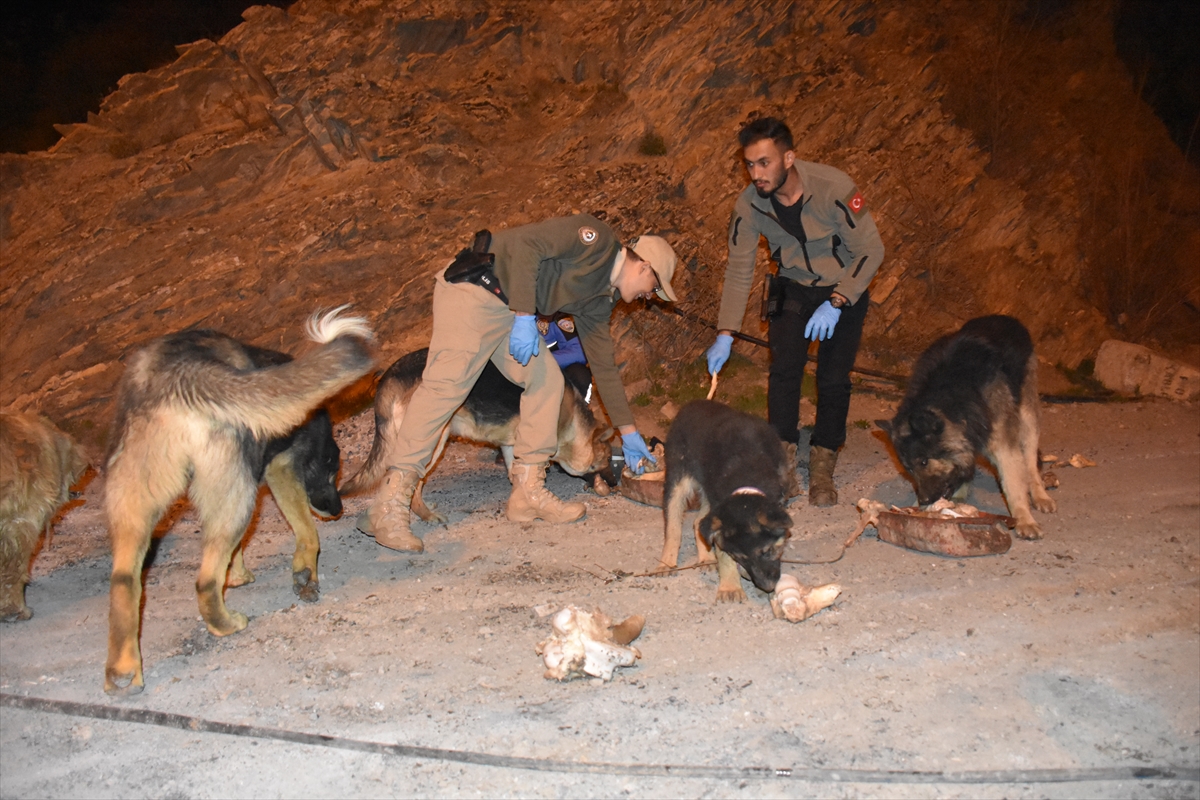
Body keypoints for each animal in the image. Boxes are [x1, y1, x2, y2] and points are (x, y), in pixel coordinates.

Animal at [105, 307, 372, 695]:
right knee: (204, 580)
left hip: (139, 507)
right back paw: (226, 624)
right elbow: (307, 534)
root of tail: (178, 374)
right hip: (236, 496)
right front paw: (304, 574)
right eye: (332, 469)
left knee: (124, 583)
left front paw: (237, 574)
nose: (338, 511)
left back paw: (122, 672)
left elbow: (240, 550)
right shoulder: (280, 470)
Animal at [652, 402, 792, 604]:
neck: (747, 469)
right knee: (673, 526)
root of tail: (691, 404)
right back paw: (667, 562)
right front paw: (730, 587)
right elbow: (723, 556)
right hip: (678, 478)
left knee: (698, 522)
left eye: (767, 551)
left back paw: (705, 558)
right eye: (740, 557)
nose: (767, 587)